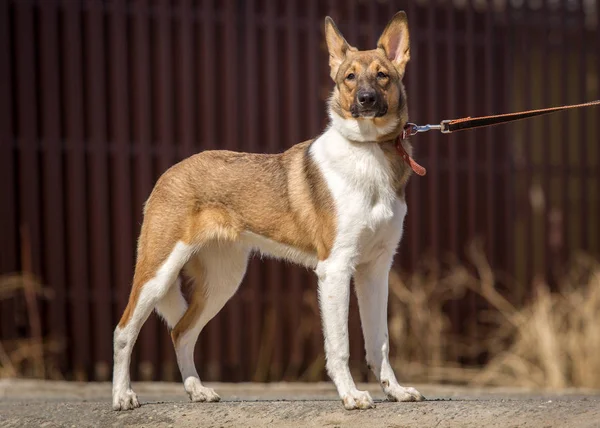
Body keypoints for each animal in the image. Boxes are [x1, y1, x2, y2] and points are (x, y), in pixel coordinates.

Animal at [111, 10, 422, 412]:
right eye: (349, 77)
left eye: (382, 75)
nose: (366, 99)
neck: (368, 151)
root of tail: (170, 172)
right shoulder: (336, 269)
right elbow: (340, 345)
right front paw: (351, 395)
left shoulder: (376, 269)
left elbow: (379, 343)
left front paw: (394, 391)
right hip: (158, 271)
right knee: (124, 330)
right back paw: (122, 395)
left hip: (224, 280)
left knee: (182, 332)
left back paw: (197, 390)